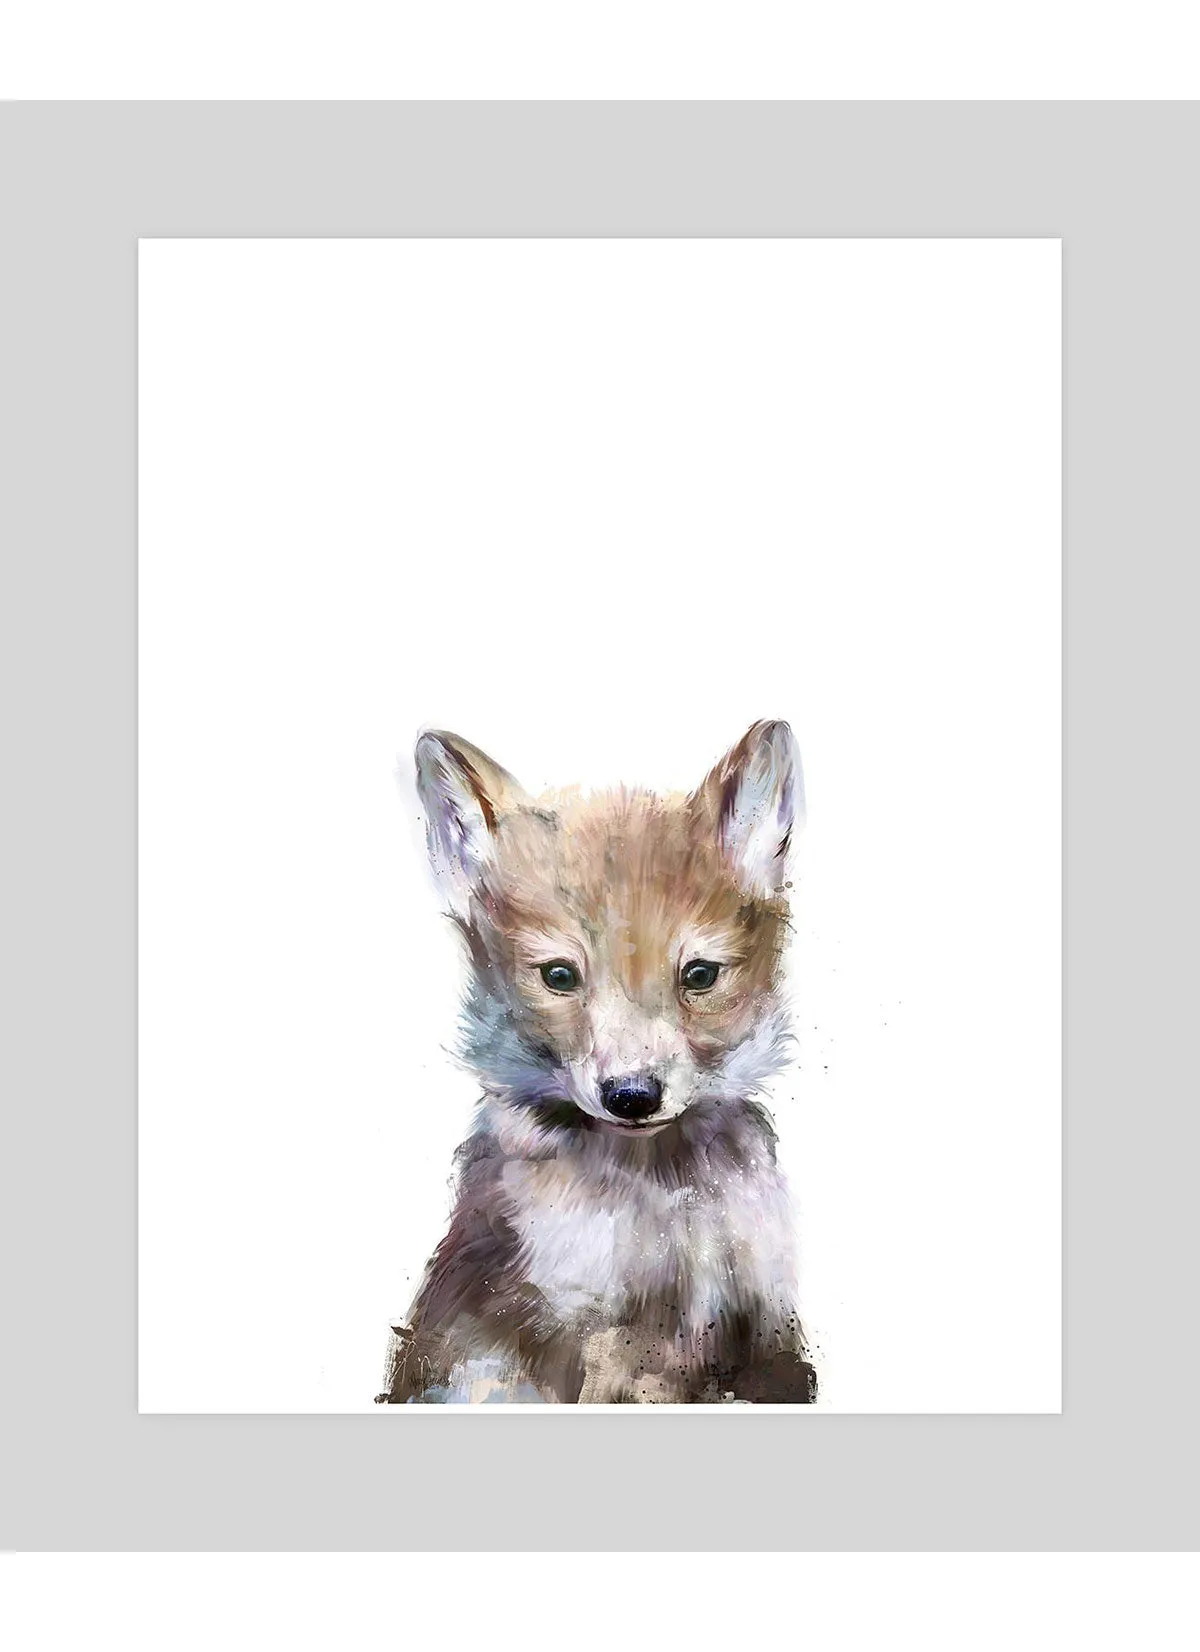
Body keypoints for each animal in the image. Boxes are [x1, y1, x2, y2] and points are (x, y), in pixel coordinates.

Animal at [376, 720, 816, 1404]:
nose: (632, 1096)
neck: (660, 1199)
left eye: (700, 975)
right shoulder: (583, 1331)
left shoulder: (763, 1326)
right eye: (559, 975)